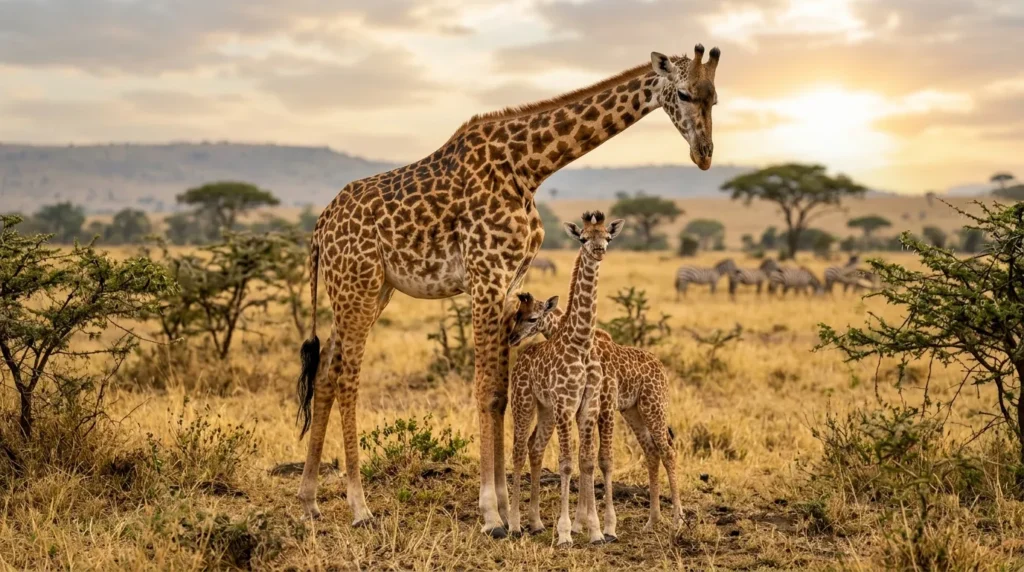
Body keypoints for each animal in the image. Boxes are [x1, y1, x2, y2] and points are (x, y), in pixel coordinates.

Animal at [507, 211, 623, 546]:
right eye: (583, 238)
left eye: (607, 237)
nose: (598, 251)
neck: (580, 341)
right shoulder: (565, 404)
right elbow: (567, 462)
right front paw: (566, 532)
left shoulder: (587, 406)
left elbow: (587, 461)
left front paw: (594, 530)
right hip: (524, 402)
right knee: (518, 450)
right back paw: (515, 524)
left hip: (546, 410)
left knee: (534, 447)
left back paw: (535, 522)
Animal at [509, 293, 682, 538]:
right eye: (517, 314)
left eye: (532, 318)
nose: (513, 337)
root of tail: (662, 369)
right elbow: (584, 458)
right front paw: (580, 524)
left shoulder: (604, 403)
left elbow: (596, 458)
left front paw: (591, 525)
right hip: (633, 410)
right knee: (651, 451)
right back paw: (652, 521)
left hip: (654, 405)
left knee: (668, 451)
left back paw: (677, 520)